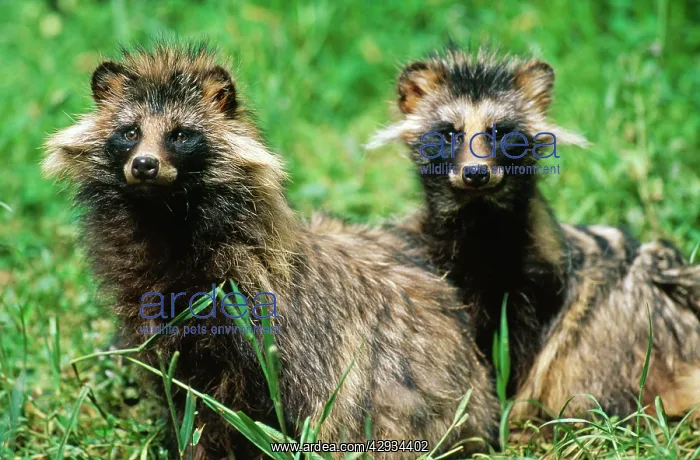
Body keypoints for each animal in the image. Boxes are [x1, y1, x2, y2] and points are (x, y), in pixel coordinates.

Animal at [43, 43, 499, 458]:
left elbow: (249, 408)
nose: (144, 165)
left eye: (181, 134)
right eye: (130, 132)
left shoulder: (257, 317)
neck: (163, 218)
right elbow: (180, 395)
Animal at [369, 47, 700, 422]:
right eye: (450, 133)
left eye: (500, 133)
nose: (475, 173)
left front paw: (504, 398)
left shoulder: (538, 273)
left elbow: (517, 342)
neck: (479, 219)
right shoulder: (436, 258)